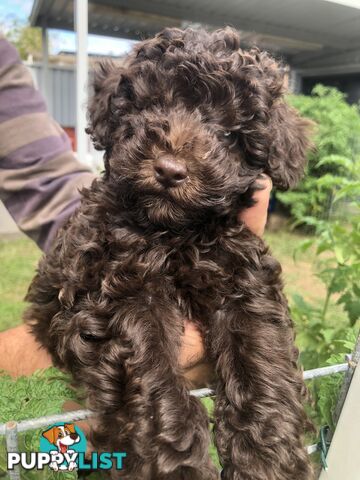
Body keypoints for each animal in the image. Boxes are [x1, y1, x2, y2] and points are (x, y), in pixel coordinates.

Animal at [25, 27, 314, 480]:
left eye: (229, 134)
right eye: (151, 107)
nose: (169, 169)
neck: (176, 233)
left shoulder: (244, 279)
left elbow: (261, 353)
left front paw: (267, 457)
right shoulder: (114, 289)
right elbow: (148, 366)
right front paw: (174, 459)